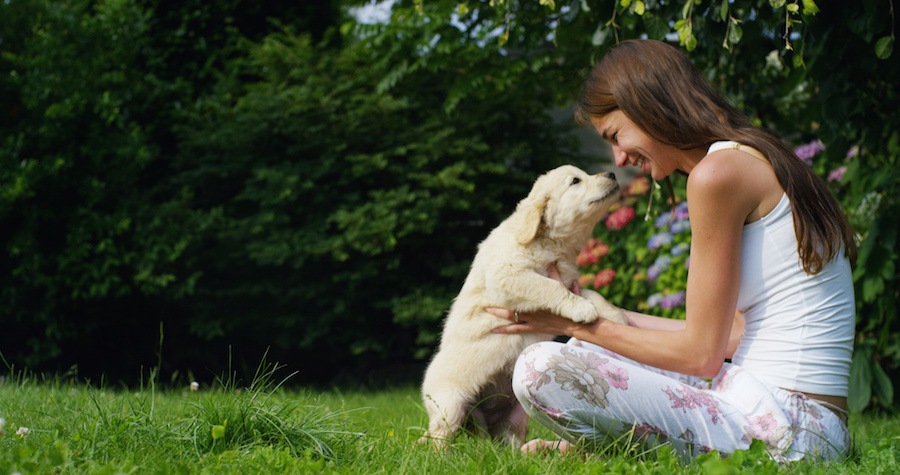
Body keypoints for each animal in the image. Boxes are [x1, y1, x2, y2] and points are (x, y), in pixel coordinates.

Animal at [416, 165, 624, 450]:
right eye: (575, 181)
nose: (612, 174)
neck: (550, 244)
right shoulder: (510, 275)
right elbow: (550, 287)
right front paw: (583, 310)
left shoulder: (570, 280)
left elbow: (594, 294)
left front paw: (616, 315)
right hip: (450, 405)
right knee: (434, 438)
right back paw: (438, 455)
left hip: (517, 414)